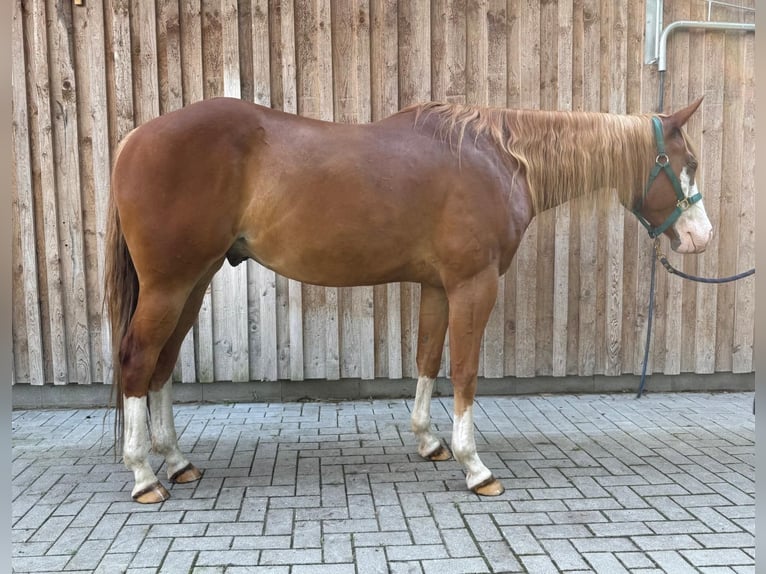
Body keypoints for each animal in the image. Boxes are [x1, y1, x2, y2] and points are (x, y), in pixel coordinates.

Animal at [105, 96, 712, 503]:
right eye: (687, 164)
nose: (700, 239)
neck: (499, 160)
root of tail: (133, 139)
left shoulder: (439, 286)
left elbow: (427, 357)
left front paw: (428, 442)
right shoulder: (474, 284)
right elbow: (464, 370)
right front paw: (475, 467)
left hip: (194, 280)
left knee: (162, 363)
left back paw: (177, 461)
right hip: (171, 283)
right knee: (137, 359)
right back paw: (143, 475)